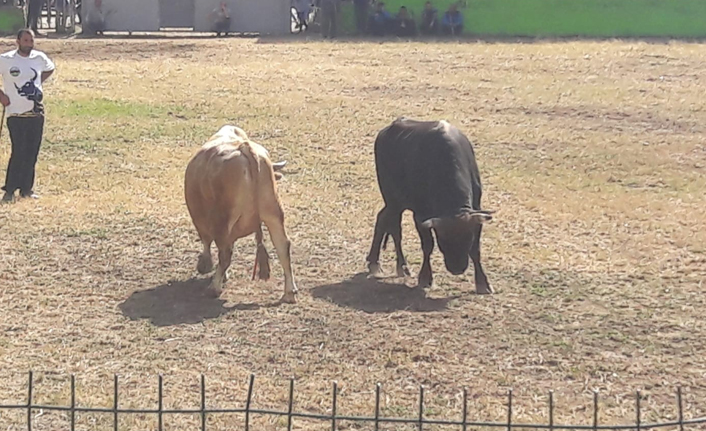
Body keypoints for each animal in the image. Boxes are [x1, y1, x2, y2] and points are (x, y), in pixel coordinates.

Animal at [183, 126, 296, 304]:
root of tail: (245, 148)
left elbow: (207, 242)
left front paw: (206, 265)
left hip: (224, 220)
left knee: (225, 252)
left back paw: (214, 287)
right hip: (273, 213)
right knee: (283, 245)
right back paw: (289, 292)